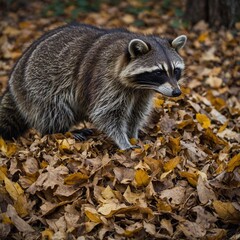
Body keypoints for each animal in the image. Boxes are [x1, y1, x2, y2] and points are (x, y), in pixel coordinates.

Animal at [0, 23, 187, 149]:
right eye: (159, 72)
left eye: (176, 70)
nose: (177, 92)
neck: (138, 86)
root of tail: (13, 79)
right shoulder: (104, 81)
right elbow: (107, 114)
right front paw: (123, 142)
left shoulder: (142, 93)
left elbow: (137, 113)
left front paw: (133, 134)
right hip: (38, 84)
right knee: (54, 110)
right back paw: (60, 131)